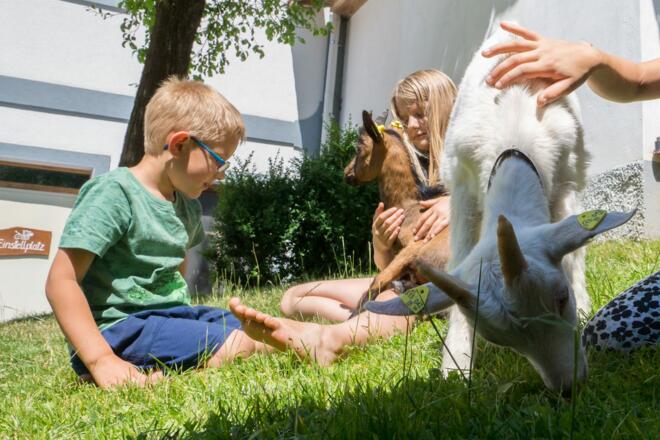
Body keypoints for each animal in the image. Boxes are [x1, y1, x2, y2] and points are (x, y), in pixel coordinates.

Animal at [364, 26, 635, 393]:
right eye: (502, 341)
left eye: (561, 297)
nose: (568, 387)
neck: (515, 132)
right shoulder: (463, 187)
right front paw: (457, 363)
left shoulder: (566, 178)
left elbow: (572, 254)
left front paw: (582, 311)